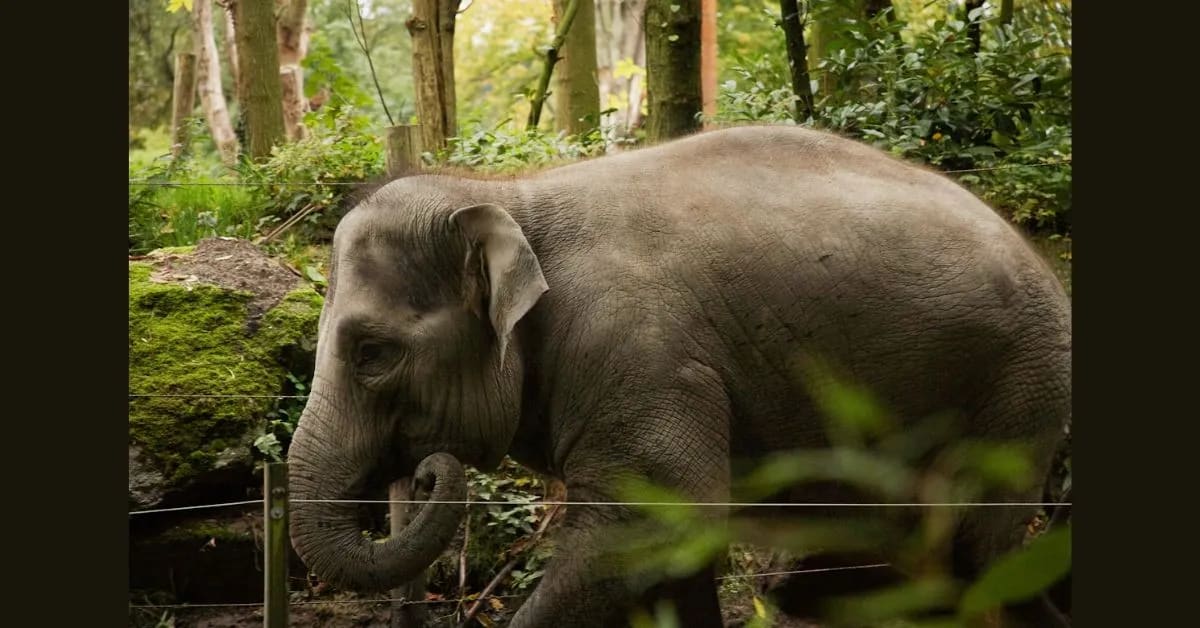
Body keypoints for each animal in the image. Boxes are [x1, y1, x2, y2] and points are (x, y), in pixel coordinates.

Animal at [286, 125, 1071, 627]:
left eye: (371, 353)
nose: (426, 473)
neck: (510, 197)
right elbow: (678, 545)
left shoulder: (639, 350)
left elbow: (651, 518)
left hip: (1018, 385)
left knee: (973, 549)